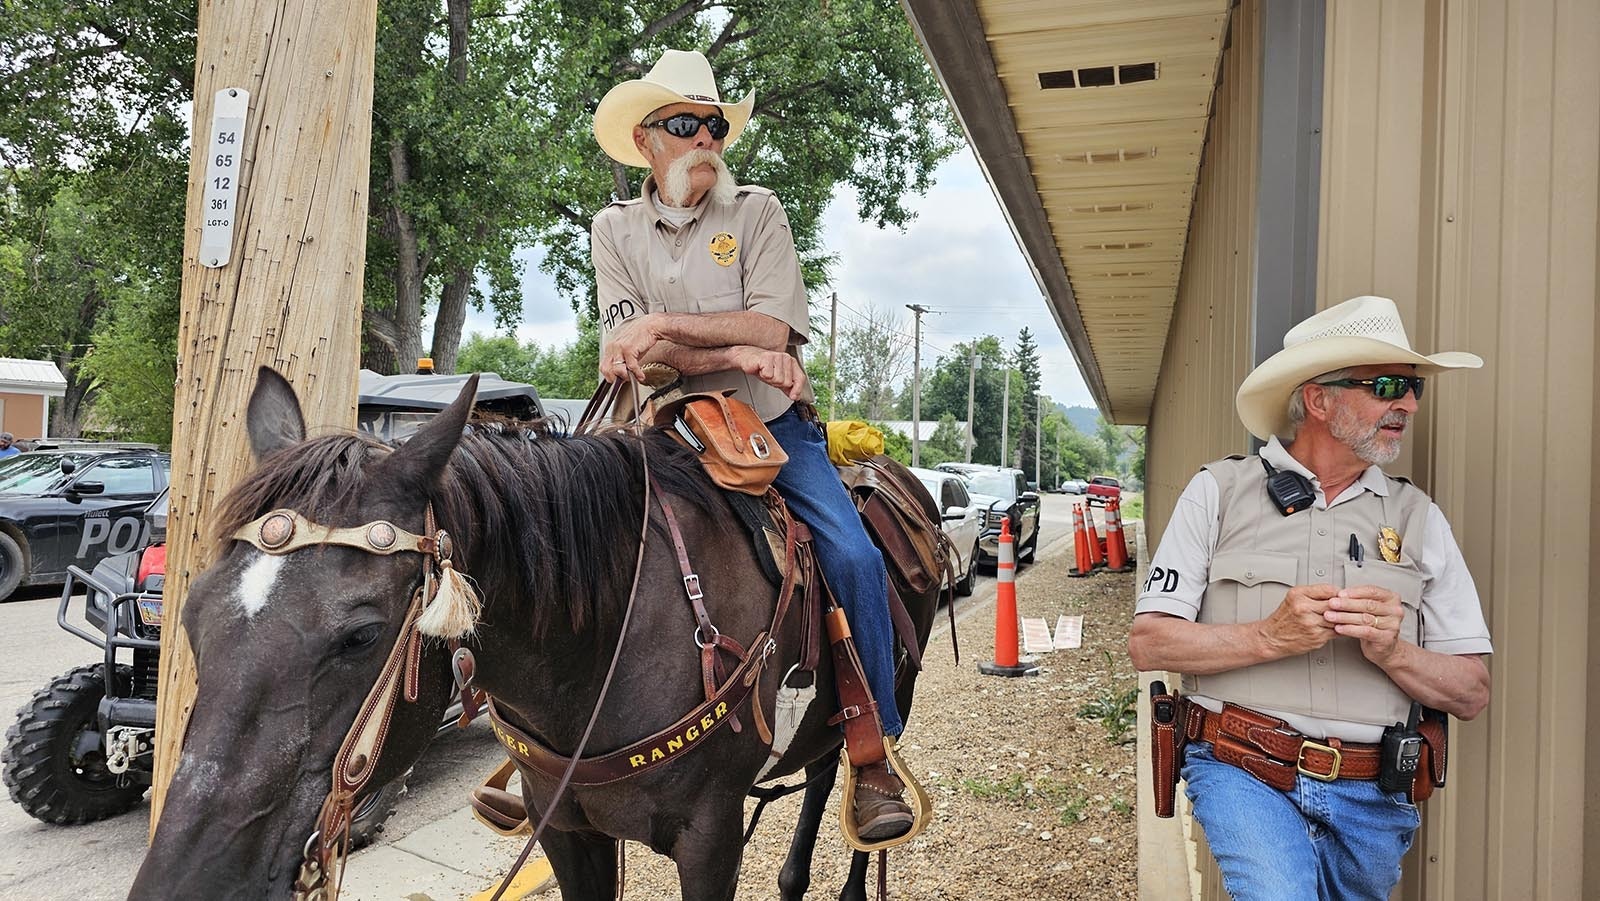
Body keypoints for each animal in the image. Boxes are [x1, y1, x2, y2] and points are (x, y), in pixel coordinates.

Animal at [134, 368, 934, 901]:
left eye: (360, 635)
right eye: (192, 611)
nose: (185, 884)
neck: (604, 651)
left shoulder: (708, 838)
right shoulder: (567, 830)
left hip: (892, 686)